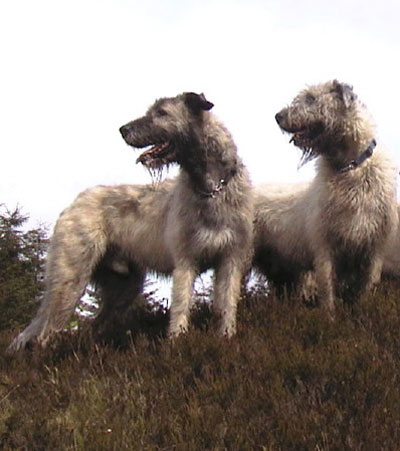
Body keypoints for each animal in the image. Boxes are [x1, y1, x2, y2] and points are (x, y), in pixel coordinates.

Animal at [8, 92, 253, 354]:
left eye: (161, 113)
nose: (123, 129)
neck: (211, 188)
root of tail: (74, 203)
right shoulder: (185, 261)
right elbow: (180, 308)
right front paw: (176, 345)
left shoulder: (230, 260)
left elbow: (226, 307)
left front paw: (226, 340)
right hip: (69, 279)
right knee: (44, 331)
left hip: (123, 287)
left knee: (90, 325)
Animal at [255, 81, 398, 312]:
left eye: (311, 98)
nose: (278, 116)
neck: (350, 169)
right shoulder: (324, 246)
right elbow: (328, 286)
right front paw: (329, 315)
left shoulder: (374, 250)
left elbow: (367, 286)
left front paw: (363, 308)